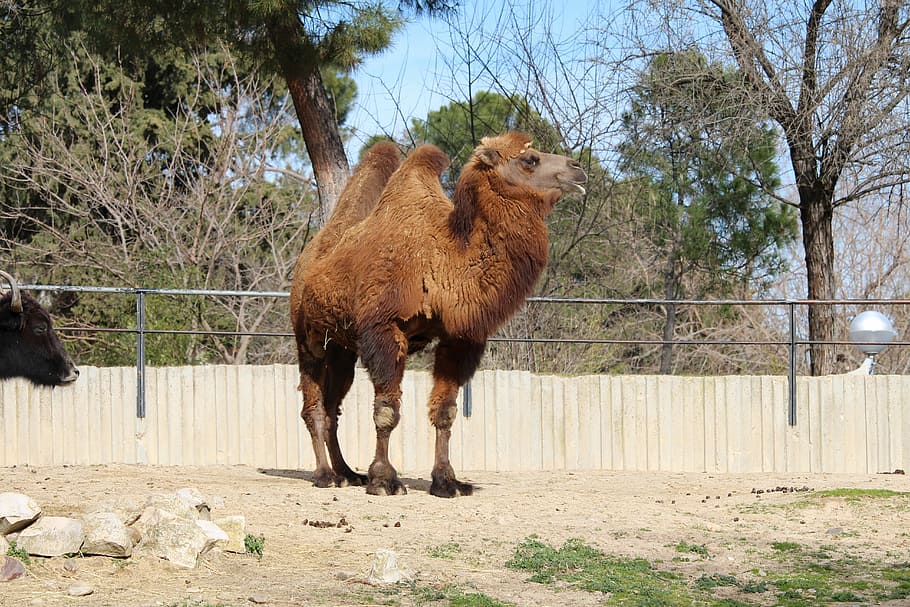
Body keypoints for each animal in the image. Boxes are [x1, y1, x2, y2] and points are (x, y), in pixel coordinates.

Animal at [290, 132, 587, 497]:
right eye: (529, 159)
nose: (577, 167)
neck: (445, 259)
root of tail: (309, 259)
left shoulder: (460, 338)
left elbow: (446, 412)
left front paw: (448, 481)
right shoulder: (384, 330)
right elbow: (387, 411)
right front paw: (384, 480)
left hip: (342, 348)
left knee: (334, 408)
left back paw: (347, 473)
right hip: (307, 338)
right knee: (314, 407)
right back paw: (325, 475)